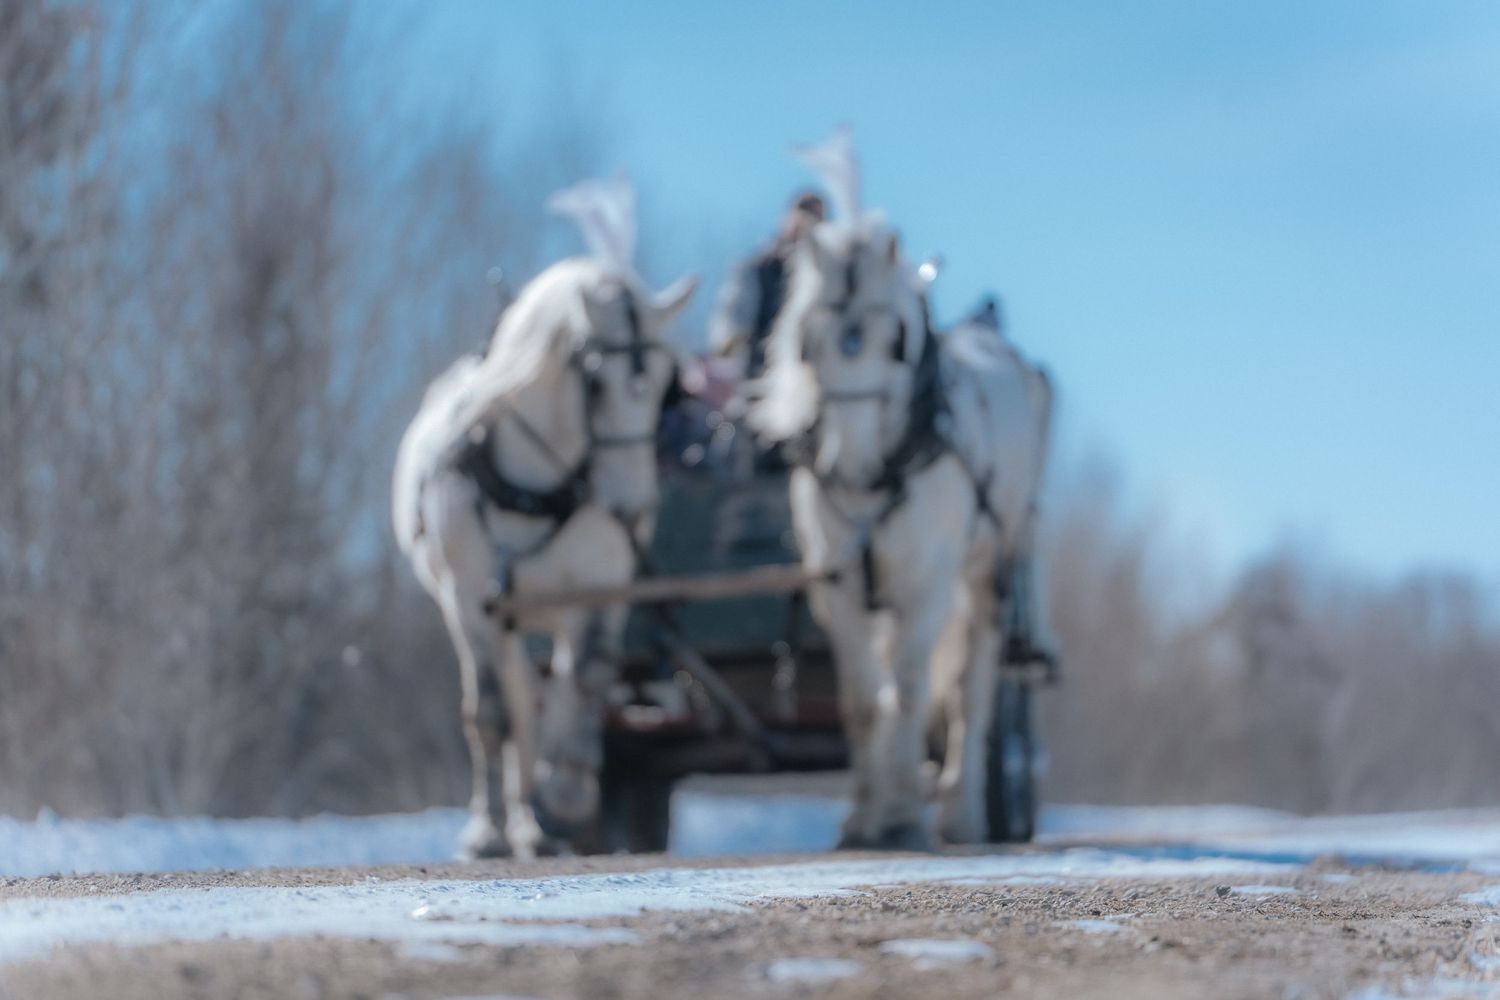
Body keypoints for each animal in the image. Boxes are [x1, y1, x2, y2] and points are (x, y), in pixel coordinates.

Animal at [393, 198, 696, 859]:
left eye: (668, 382)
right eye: (596, 380)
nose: (631, 506)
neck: (536, 483)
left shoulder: (601, 591)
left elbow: (586, 682)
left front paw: (567, 797)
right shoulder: (473, 600)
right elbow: (490, 715)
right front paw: (486, 833)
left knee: (545, 699)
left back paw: (538, 821)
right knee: (513, 706)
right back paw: (508, 825)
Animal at [749, 218, 1055, 848]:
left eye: (895, 342)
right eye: (809, 343)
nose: (848, 463)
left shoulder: (928, 582)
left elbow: (913, 691)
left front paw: (906, 817)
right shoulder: (838, 586)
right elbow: (867, 701)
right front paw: (867, 819)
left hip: (992, 569)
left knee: (972, 688)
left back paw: (961, 813)